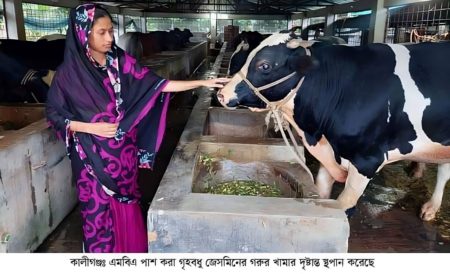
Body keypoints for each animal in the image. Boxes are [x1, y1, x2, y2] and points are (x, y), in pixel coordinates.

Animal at [216, 32, 448, 220]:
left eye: (264, 65)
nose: (221, 94)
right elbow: (321, 193)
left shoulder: (367, 160)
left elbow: (345, 206)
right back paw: (430, 207)